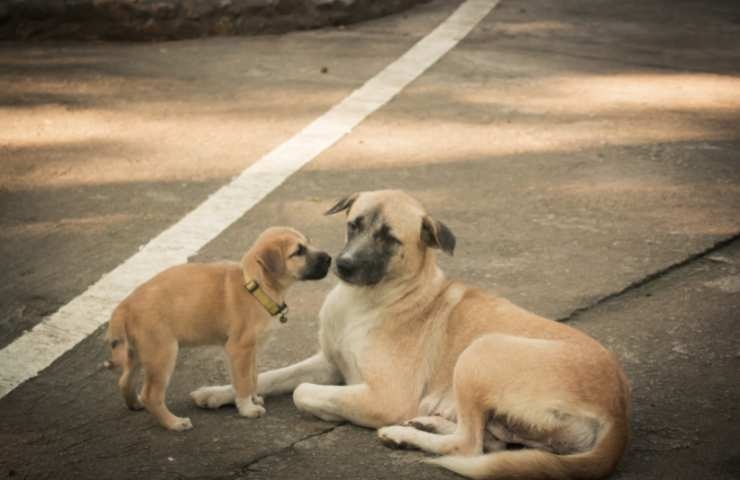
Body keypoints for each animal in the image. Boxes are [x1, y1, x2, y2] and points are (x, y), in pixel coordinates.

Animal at [105, 227, 330, 434]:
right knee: (151, 395)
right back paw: (174, 423)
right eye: (298, 251)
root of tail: (125, 305)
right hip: (162, 353)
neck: (256, 286)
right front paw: (247, 409)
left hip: (139, 353)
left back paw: (135, 404)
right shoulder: (238, 349)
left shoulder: (251, 350)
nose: (329, 258)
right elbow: (242, 382)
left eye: (308, 243)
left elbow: (252, 377)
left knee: (124, 380)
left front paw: (254, 398)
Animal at [194, 191, 628, 480]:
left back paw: (403, 434)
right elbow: (267, 376)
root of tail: (618, 412)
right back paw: (426, 424)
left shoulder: (385, 396)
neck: (370, 299)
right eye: (353, 225)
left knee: (469, 445)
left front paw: (324, 410)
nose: (341, 265)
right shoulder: (328, 362)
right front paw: (220, 393)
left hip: (479, 352)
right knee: (489, 441)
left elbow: (302, 392)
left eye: (389, 238)